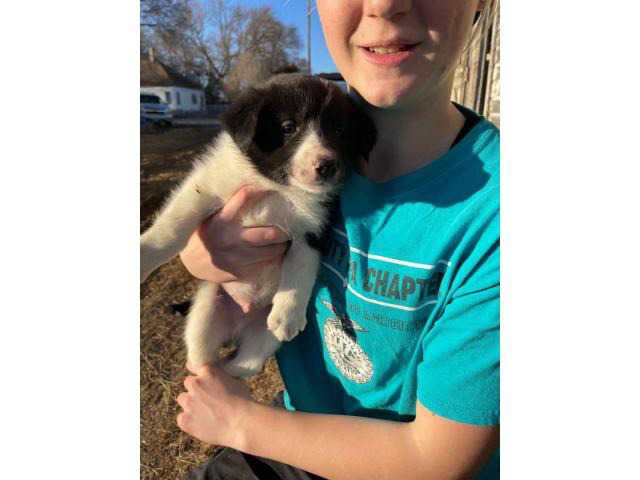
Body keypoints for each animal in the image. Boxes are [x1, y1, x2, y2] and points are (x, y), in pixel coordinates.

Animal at [140, 73, 376, 376]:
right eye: (288, 127)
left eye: (339, 131)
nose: (326, 166)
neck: (277, 187)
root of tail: (239, 324)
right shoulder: (206, 186)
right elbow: (173, 227)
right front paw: (144, 255)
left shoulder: (312, 231)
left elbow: (300, 269)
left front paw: (288, 315)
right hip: (205, 310)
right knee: (202, 360)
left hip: (261, 339)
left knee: (242, 365)